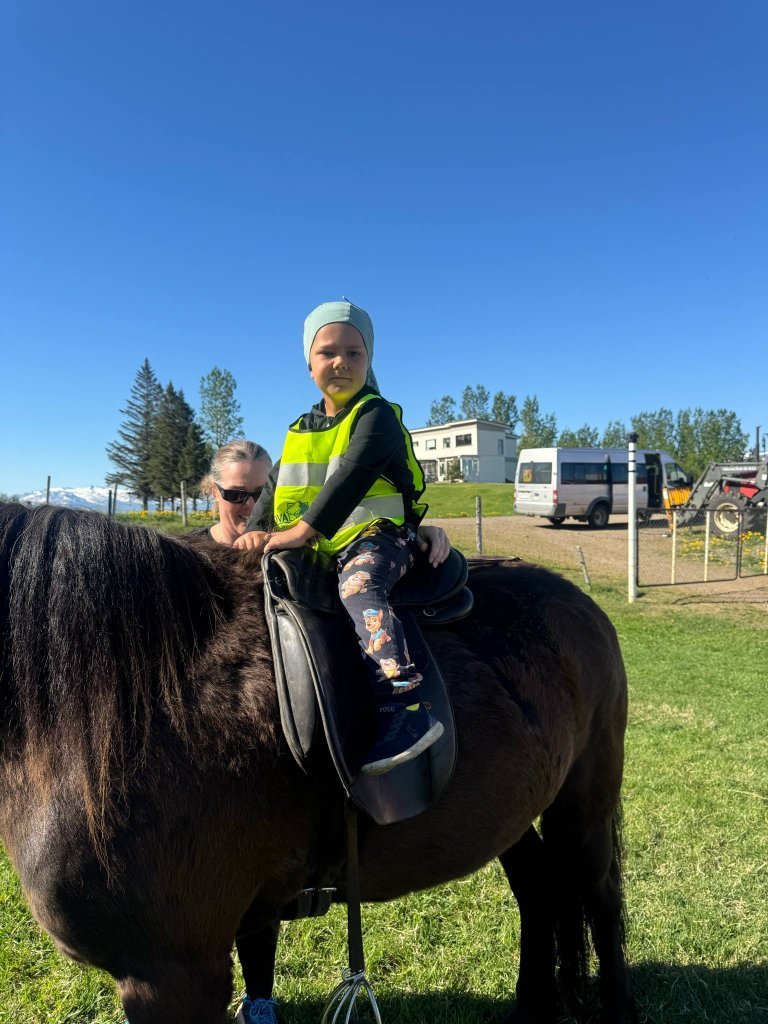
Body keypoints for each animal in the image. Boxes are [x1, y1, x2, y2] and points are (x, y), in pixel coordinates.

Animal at [0, 502, 635, 1024]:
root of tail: (576, 599)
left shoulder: (173, 972)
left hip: (586, 799)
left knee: (600, 892)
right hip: (510, 810)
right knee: (538, 885)